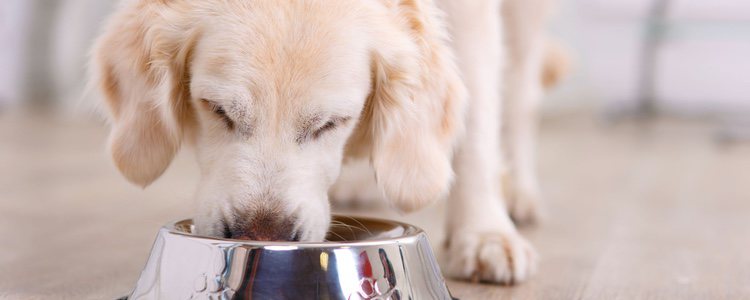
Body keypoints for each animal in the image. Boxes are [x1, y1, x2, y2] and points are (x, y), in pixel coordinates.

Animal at [91, 0, 560, 284]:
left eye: (332, 123)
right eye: (217, 109)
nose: (263, 235)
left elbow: (477, 117)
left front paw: (484, 234)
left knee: (521, 93)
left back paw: (518, 193)